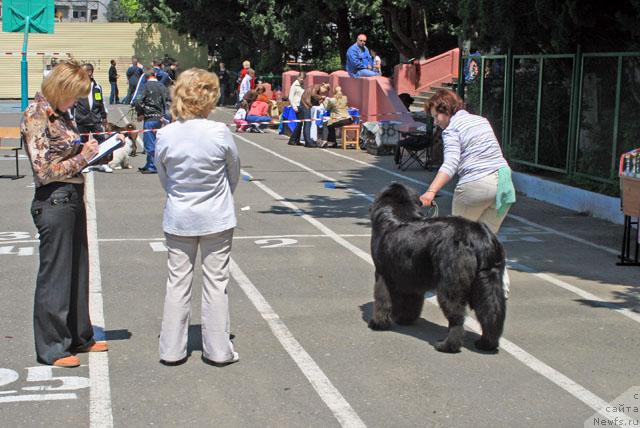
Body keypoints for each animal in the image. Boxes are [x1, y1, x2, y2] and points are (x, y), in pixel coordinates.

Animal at [368, 182, 508, 352]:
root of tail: (479, 236)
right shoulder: (412, 277)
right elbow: (411, 300)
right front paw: (405, 319)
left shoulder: (382, 273)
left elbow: (382, 299)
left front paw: (378, 323)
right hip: (488, 281)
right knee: (492, 310)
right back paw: (487, 343)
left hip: (451, 285)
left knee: (457, 318)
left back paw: (447, 345)